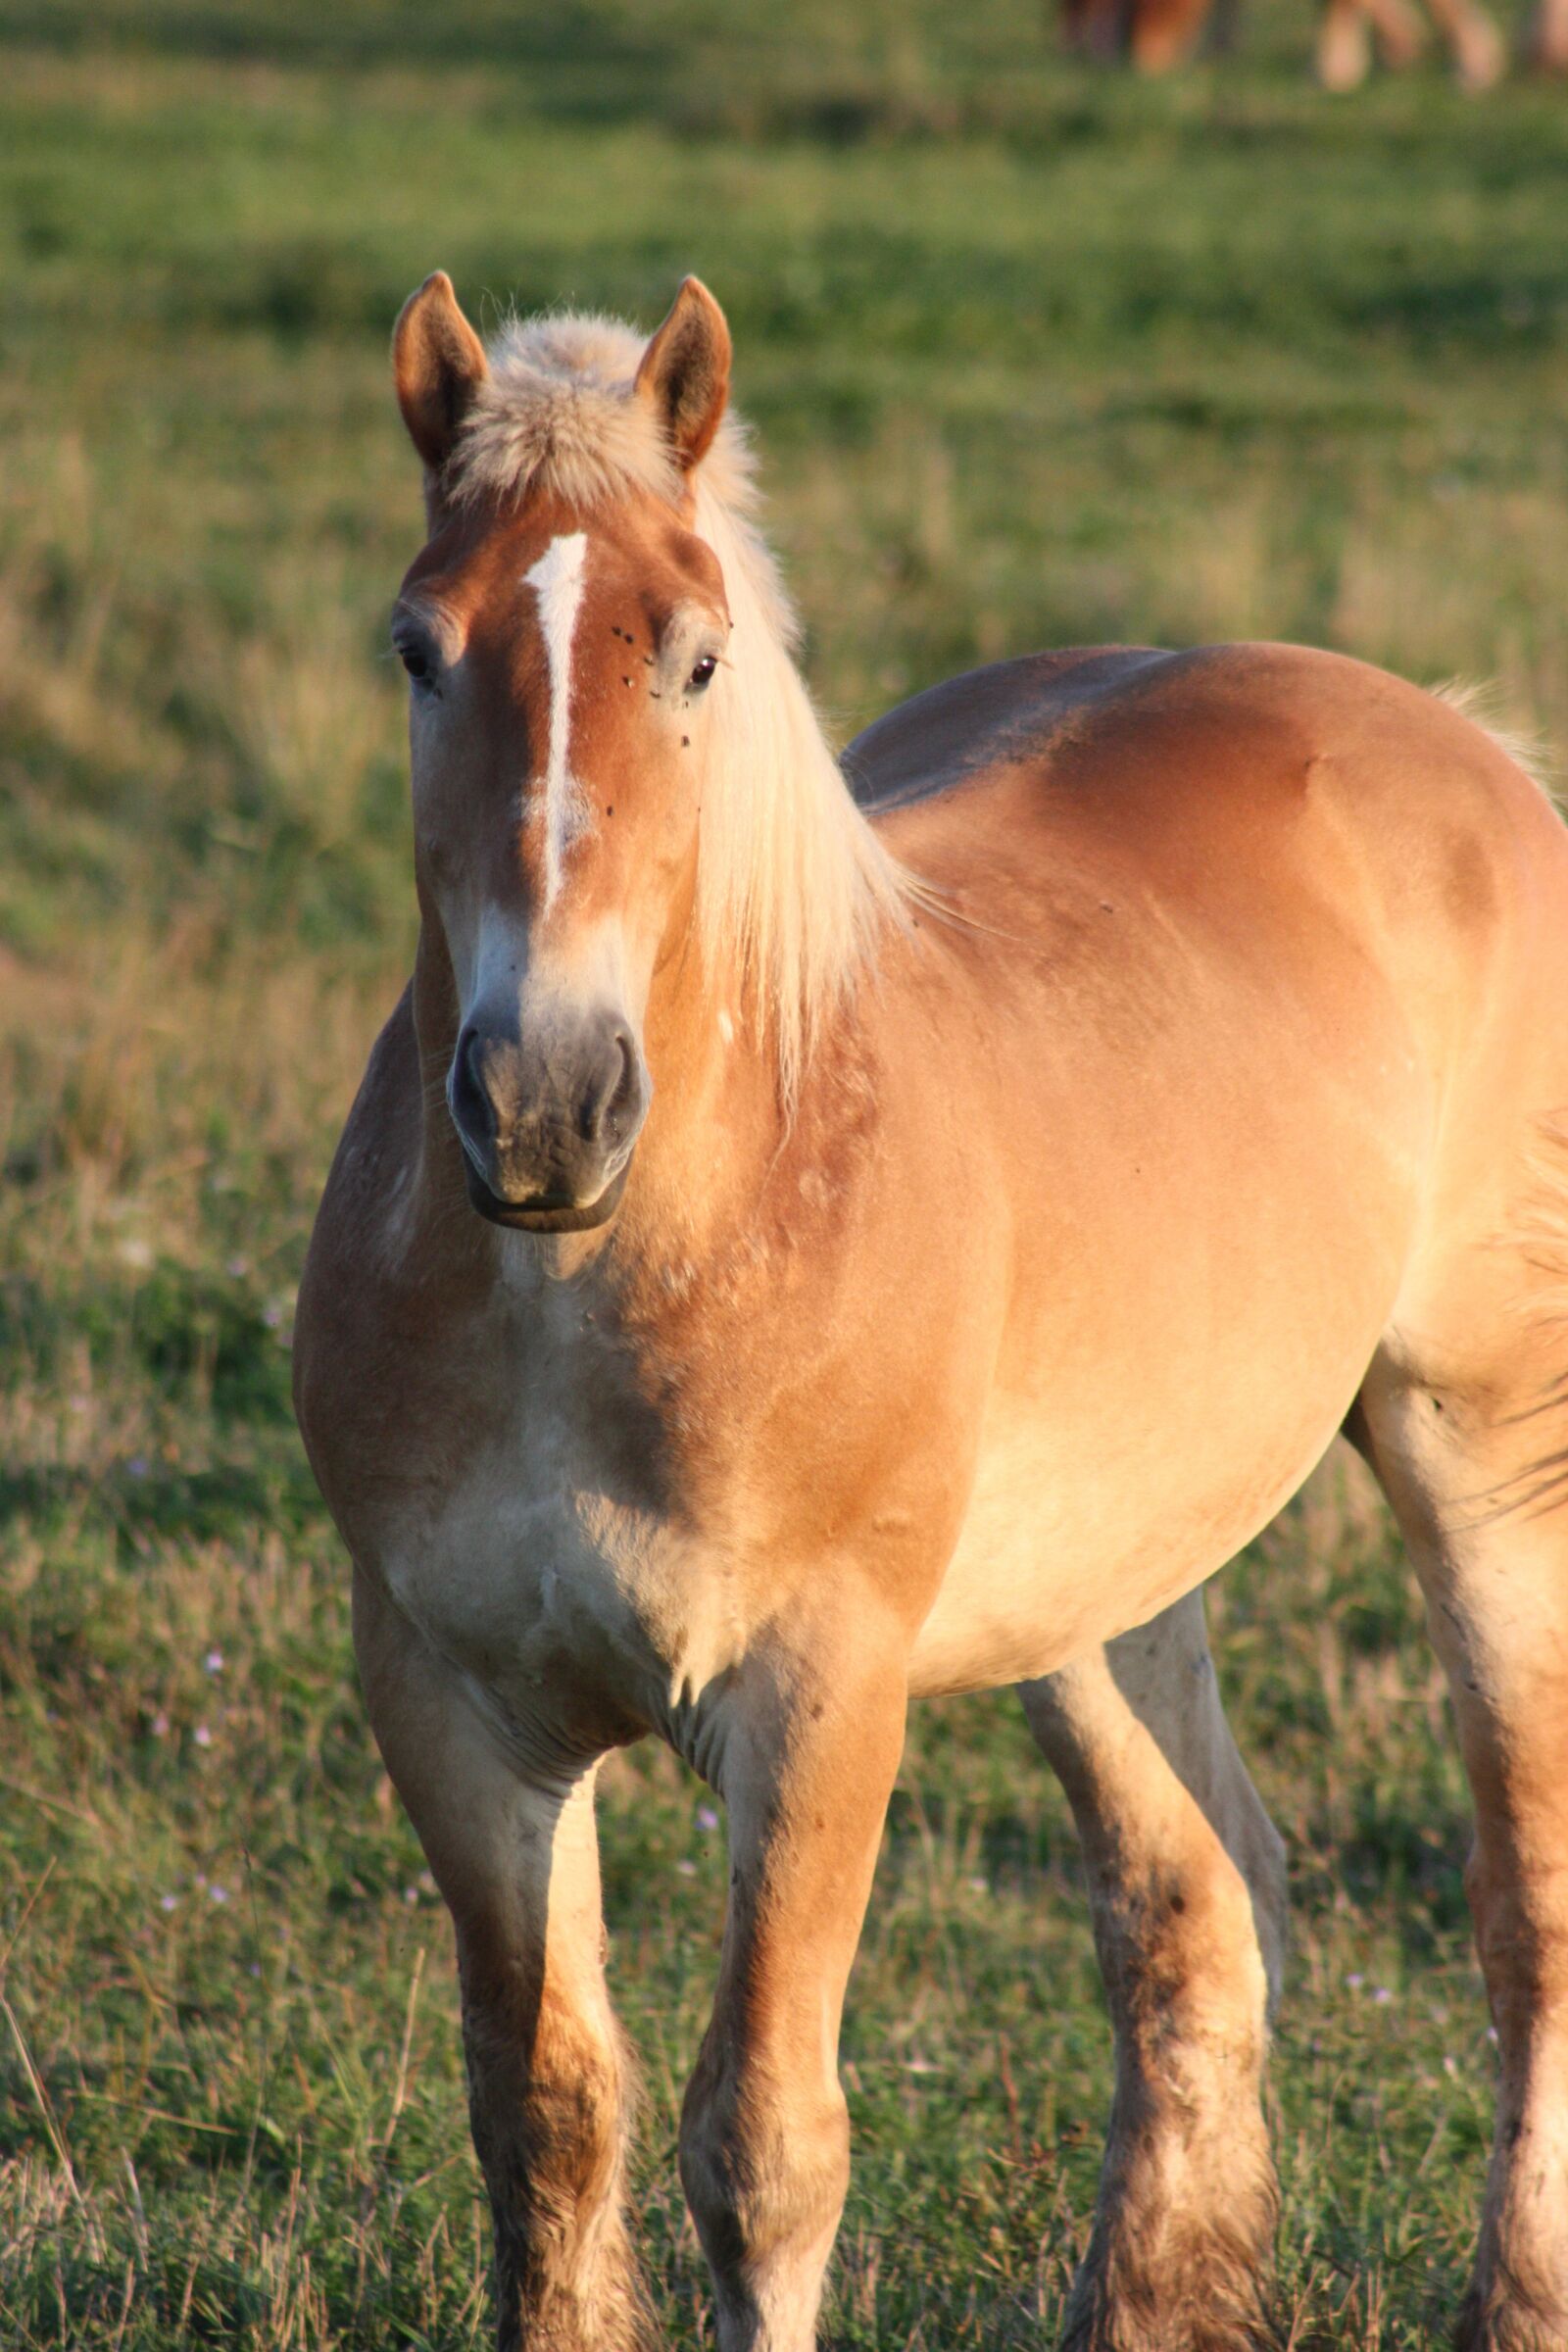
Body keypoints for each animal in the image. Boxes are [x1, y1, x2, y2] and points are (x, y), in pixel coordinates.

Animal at [293, 271, 1568, 2352]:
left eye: (697, 660)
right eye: (419, 648)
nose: (544, 1101)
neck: (589, 1279)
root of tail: (1462, 745)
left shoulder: (818, 1694)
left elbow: (763, 2152)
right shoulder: (451, 1705)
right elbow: (548, 2121)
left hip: (1480, 1455)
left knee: (1522, 1903)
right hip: (1102, 1581)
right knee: (1199, 1911)